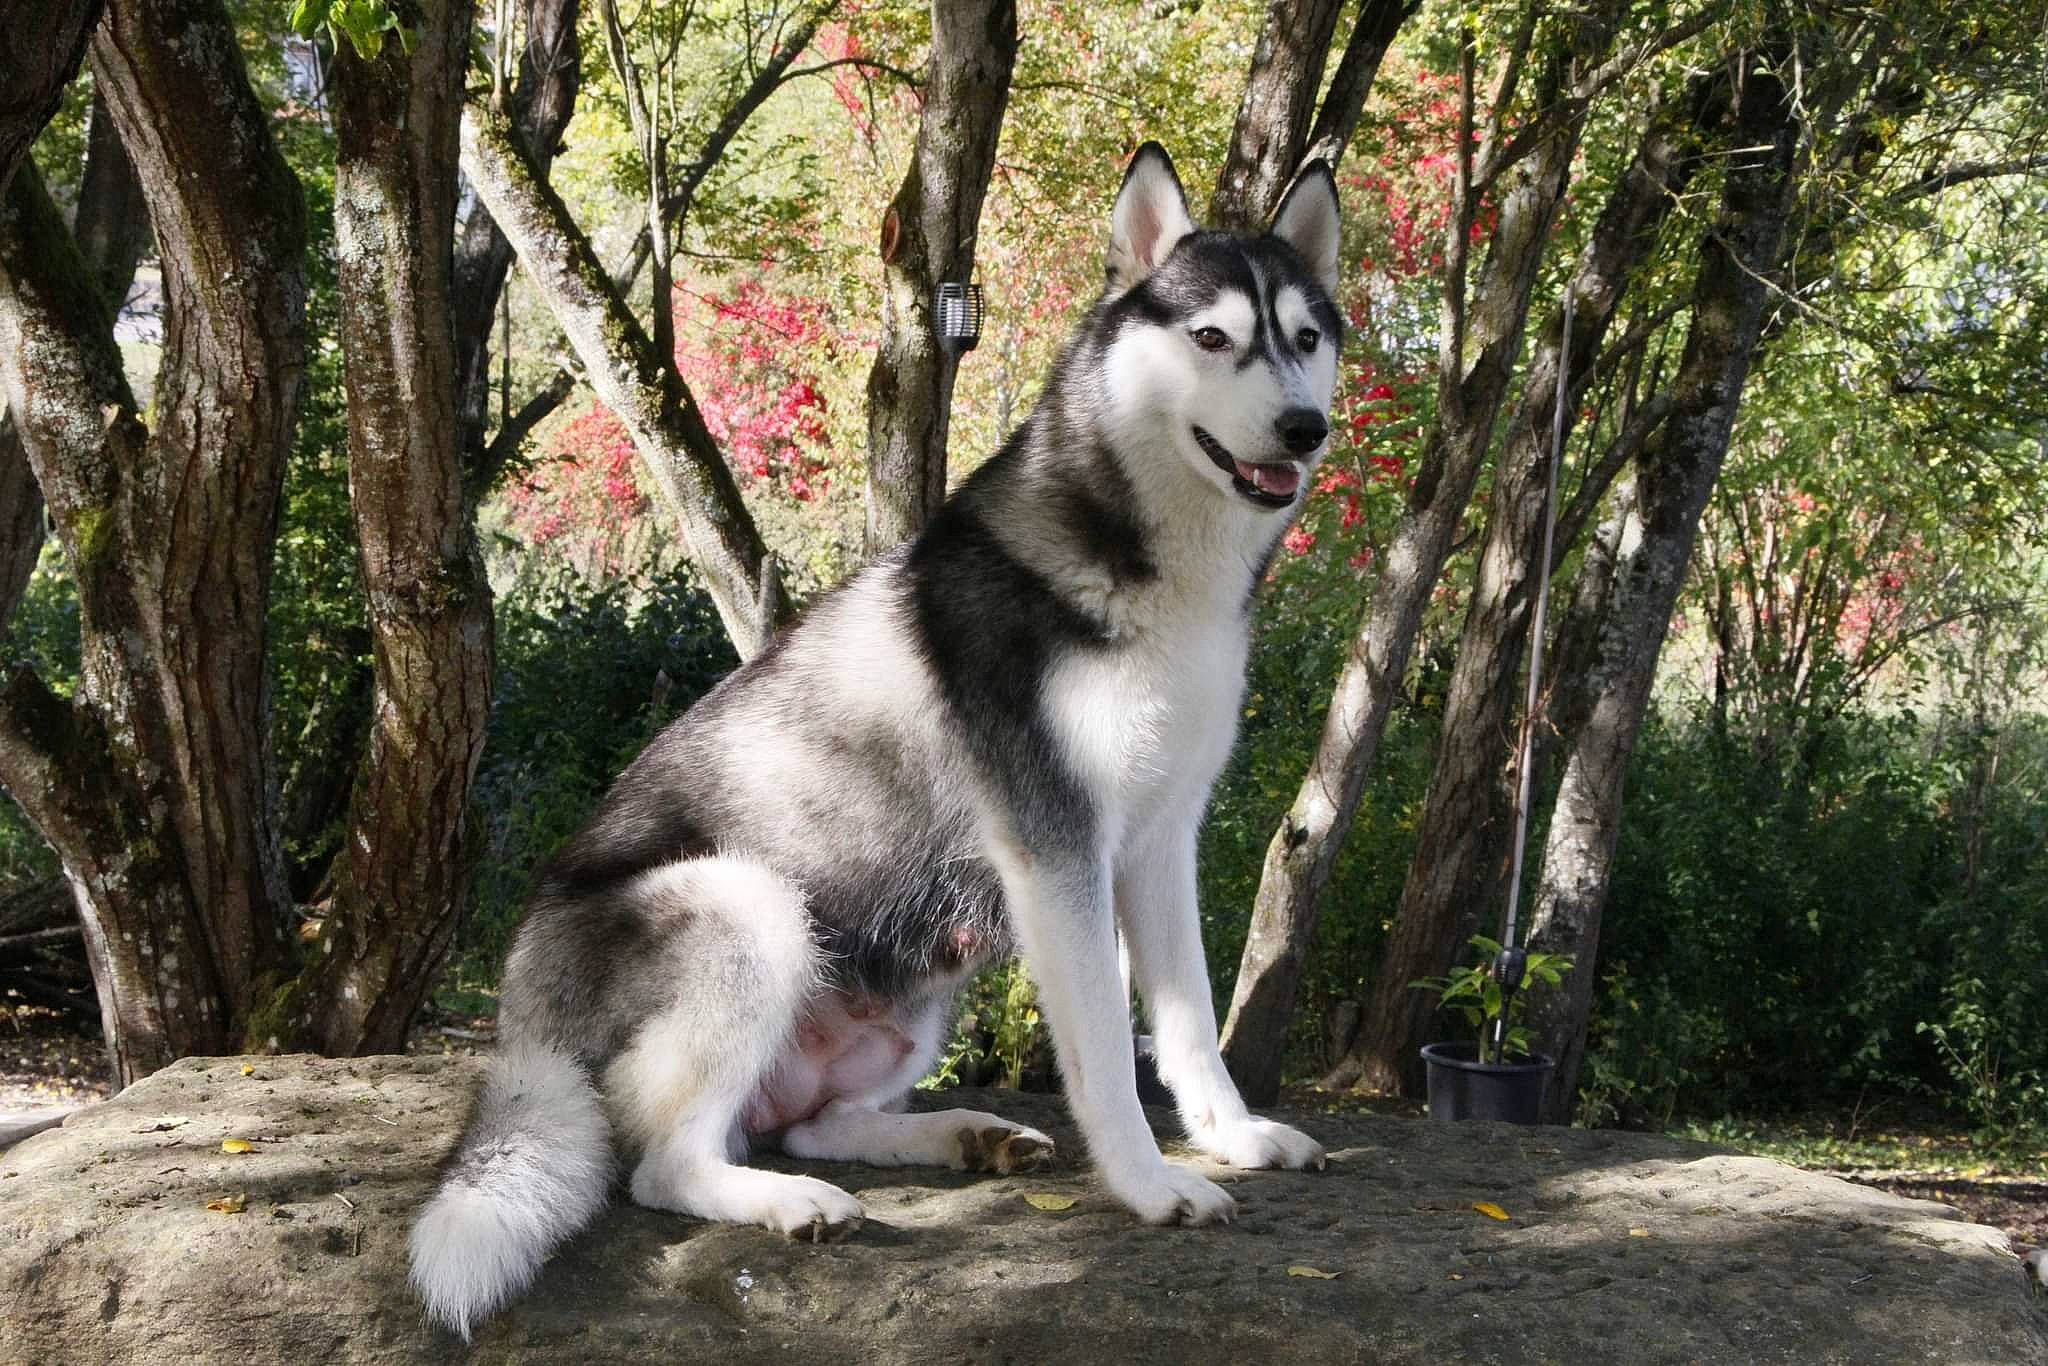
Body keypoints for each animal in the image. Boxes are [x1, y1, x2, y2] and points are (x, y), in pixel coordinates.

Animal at [409, 142, 1344, 1338]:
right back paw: (787, 1200)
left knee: (806, 1122)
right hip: (752, 906)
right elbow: (1103, 1052)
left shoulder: (1159, 840)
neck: (1150, 569)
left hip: (923, 979)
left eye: (1305, 339)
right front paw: (1148, 1183)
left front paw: (1231, 1136)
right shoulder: (1057, 852)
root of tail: (515, 1024)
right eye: (1212, 338)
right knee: (662, 1164)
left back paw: (958, 1136)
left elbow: (1189, 1026)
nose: (1302, 428)